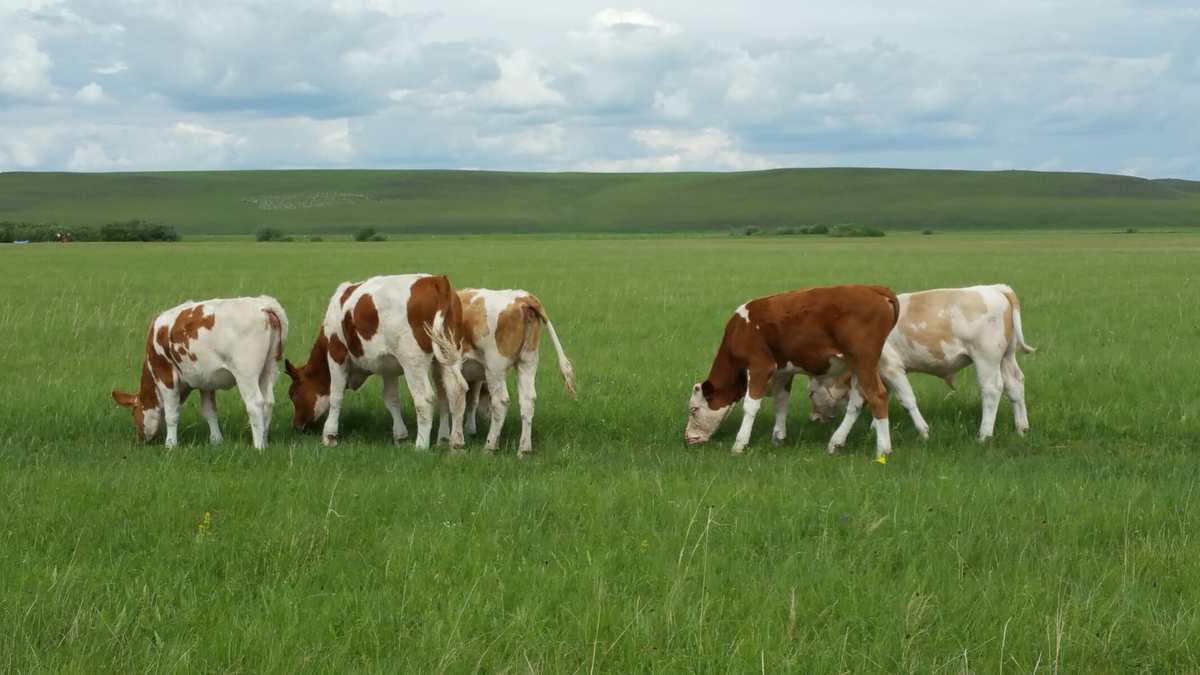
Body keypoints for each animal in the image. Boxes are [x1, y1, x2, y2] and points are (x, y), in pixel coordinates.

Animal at [112, 296, 290, 449]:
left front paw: (170, 444)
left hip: (246, 373)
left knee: (255, 403)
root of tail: (263, 305)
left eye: (134, 412)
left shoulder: (165, 374)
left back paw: (258, 446)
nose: (140, 438)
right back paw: (265, 440)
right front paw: (216, 440)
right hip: (269, 368)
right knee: (268, 401)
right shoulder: (205, 380)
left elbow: (171, 413)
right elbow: (209, 411)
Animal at [284, 270, 468, 449]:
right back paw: (454, 442)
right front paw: (400, 435)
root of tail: (436, 280)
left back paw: (421, 446)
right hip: (445, 358)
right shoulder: (389, 367)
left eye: (293, 395)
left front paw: (330, 435)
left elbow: (336, 395)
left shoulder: (336, 354)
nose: (295, 425)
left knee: (424, 399)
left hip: (413, 362)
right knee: (455, 393)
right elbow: (391, 399)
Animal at [436, 285, 576, 454]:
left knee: (500, 401)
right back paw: (524, 449)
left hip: (494, 368)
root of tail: (524, 297)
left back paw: (490, 446)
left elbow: (451, 401)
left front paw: (447, 441)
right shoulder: (473, 375)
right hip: (527, 362)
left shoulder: (444, 368)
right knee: (528, 400)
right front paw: (469, 432)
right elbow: (469, 401)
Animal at [686, 283, 902, 456]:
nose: (688, 437)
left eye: (694, 409)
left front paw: (740, 444)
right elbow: (781, 402)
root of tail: (873, 288)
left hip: (864, 361)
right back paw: (836, 442)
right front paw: (778, 437)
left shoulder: (759, 367)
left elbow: (750, 406)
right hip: (857, 366)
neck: (740, 330)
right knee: (856, 403)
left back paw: (883, 449)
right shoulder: (783, 372)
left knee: (877, 396)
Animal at [811, 282, 1036, 441]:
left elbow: (905, 398)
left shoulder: (891, 367)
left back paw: (984, 434)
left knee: (992, 390)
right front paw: (875, 426)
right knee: (1015, 384)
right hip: (1006, 357)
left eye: (811, 393)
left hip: (986, 358)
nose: (813, 418)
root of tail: (996, 289)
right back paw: (1022, 428)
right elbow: (880, 395)